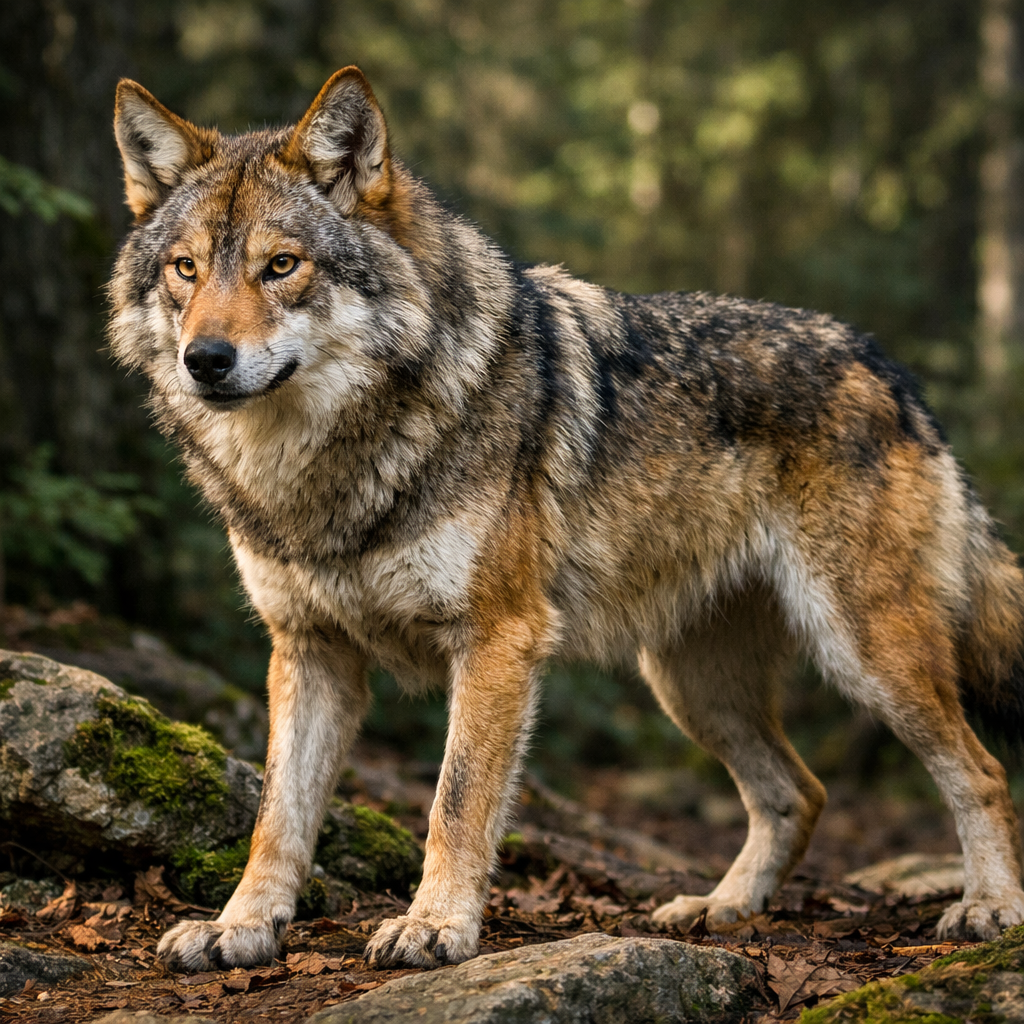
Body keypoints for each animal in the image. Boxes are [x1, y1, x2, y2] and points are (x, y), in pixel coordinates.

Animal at [108, 66, 1024, 971]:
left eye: (280, 266)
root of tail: (888, 367)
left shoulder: (497, 639)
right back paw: (720, 908)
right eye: (187, 269)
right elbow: (277, 816)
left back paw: (989, 908)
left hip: (864, 653)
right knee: (798, 792)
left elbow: (456, 799)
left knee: (979, 772)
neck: (322, 469)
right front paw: (239, 926)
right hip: (691, 686)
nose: (205, 360)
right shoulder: (308, 649)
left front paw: (434, 925)